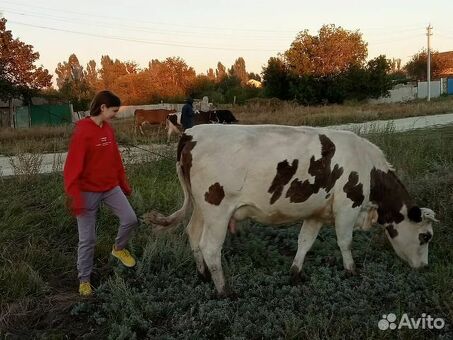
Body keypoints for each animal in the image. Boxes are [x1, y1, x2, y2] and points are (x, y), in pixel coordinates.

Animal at [144, 123, 434, 296]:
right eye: (425, 236)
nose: (425, 267)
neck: (368, 168)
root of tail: (192, 133)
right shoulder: (347, 207)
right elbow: (345, 241)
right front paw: (352, 272)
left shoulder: (317, 213)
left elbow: (305, 242)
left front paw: (295, 274)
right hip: (217, 210)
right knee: (210, 247)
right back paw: (224, 290)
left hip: (201, 208)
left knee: (192, 234)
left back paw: (203, 275)